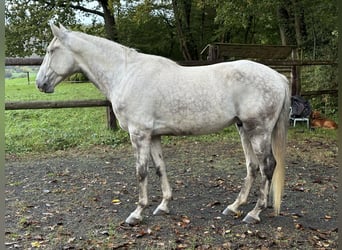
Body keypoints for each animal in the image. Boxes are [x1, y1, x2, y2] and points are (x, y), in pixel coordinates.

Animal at [36, 24, 290, 226]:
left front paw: (137, 213)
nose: (40, 83)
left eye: (51, 51)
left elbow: (141, 172)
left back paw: (254, 213)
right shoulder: (154, 135)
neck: (126, 74)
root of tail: (279, 77)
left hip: (258, 131)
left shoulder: (139, 134)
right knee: (252, 166)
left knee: (267, 166)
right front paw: (164, 206)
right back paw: (235, 206)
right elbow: (160, 168)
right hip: (243, 129)